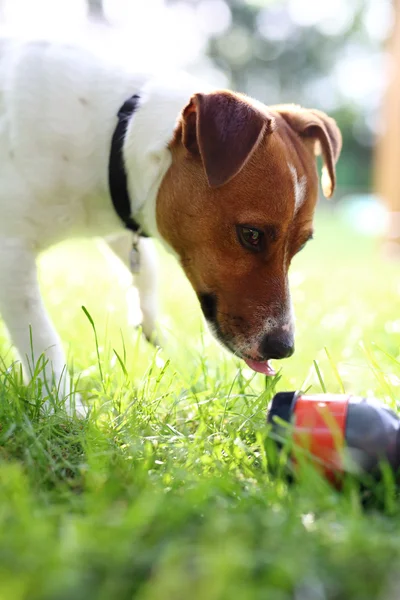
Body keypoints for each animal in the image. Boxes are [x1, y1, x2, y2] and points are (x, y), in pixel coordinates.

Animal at [0, 39, 340, 414]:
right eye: (251, 235)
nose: (283, 348)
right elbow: (39, 333)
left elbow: (146, 267)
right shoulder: (11, 253)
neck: (117, 137)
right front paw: (62, 404)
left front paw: (148, 323)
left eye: (302, 245)